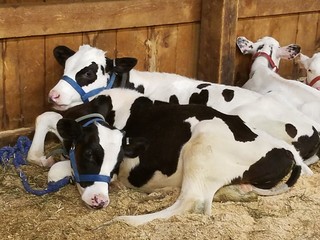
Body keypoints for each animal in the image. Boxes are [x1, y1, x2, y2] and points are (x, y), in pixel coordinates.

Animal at [27, 44, 320, 167]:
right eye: (66, 66)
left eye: (88, 72)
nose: (54, 94)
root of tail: (312, 131)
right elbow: (45, 117)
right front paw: (39, 155)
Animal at [48, 89, 312, 226]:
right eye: (89, 154)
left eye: (116, 163)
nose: (99, 200)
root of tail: (286, 151)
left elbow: (58, 170)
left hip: (203, 144)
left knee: (192, 201)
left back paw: (126, 220)